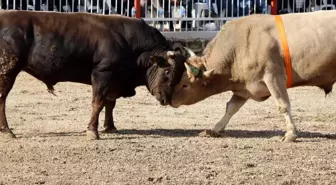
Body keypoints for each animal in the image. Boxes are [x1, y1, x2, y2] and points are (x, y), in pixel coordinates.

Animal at [0, 9, 192, 140]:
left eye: (180, 74)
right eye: (167, 71)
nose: (166, 100)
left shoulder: (114, 80)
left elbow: (110, 103)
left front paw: (110, 127)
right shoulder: (102, 74)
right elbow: (98, 102)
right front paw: (92, 131)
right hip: (7, 72)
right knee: (2, 98)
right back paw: (7, 131)